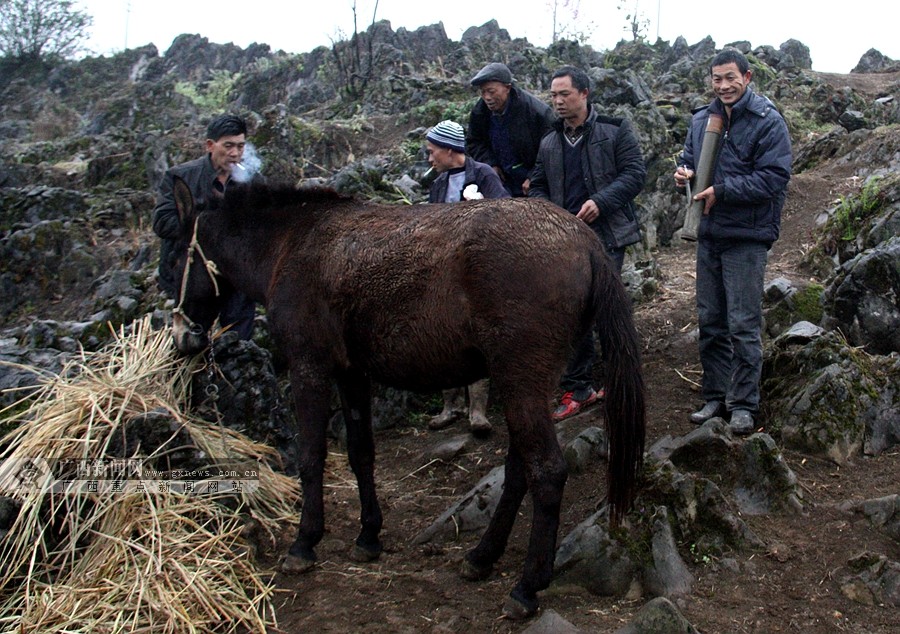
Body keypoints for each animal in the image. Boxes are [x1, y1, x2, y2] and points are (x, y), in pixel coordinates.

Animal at [169, 178, 644, 616]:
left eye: (173, 256)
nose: (182, 337)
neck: (295, 242)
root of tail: (583, 238)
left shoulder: (310, 368)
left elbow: (311, 457)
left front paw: (305, 542)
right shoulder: (352, 375)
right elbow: (361, 453)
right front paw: (368, 536)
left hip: (521, 381)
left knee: (546, 471)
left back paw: (526, 588)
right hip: (526, 385)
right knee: (519, 471)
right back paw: (481, 557)